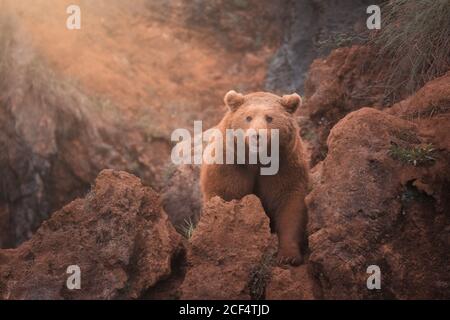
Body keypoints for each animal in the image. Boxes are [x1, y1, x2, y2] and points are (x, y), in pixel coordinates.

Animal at [200, 90, 310, 264]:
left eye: (269, 118)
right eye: (248, 117)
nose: (257, 136)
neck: (257, 159)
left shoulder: (285, 166)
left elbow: (290, 206)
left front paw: (289, 256)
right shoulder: (230, 166)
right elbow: (227, 196)